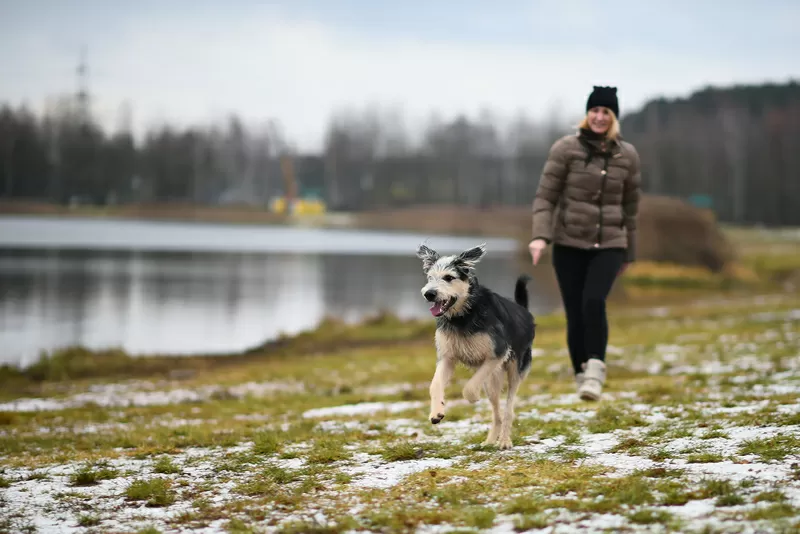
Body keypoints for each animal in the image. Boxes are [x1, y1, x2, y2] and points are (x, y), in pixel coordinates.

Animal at [416, 242, 536, 448]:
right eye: (430, 277)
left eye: (449, 277)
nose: (429, 294)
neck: (463, 315)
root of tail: (524, 311)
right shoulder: (447, 357)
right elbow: (435, 384)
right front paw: (436, 412)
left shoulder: (497, 353)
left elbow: (470, 387)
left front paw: (473, 397)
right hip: (492, 382)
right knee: (496, 413)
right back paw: (490, 441)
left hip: (514, 371)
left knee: (508, 409)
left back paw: (504, 441)